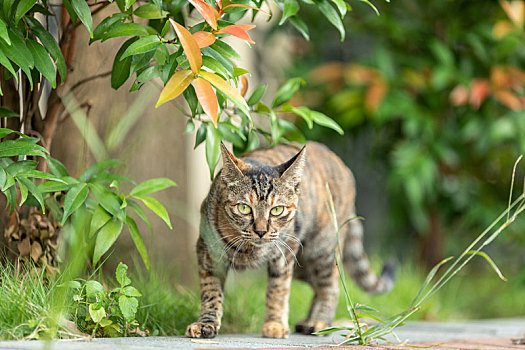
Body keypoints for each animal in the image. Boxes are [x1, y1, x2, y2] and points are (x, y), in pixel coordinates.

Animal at [184, 142, 392, 340]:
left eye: (277, 210)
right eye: (244, 208)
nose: (261, 231)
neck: (248, 250)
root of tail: (341, 163)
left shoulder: (283, 255)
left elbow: (278, 290)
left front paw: (275, 324)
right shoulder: (208, 253)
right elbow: (211, 292)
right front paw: (206, 324)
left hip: (320, 250)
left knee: (330, 285)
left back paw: (319, 321)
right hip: (303, 265)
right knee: (319, 285)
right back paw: (308, 321)